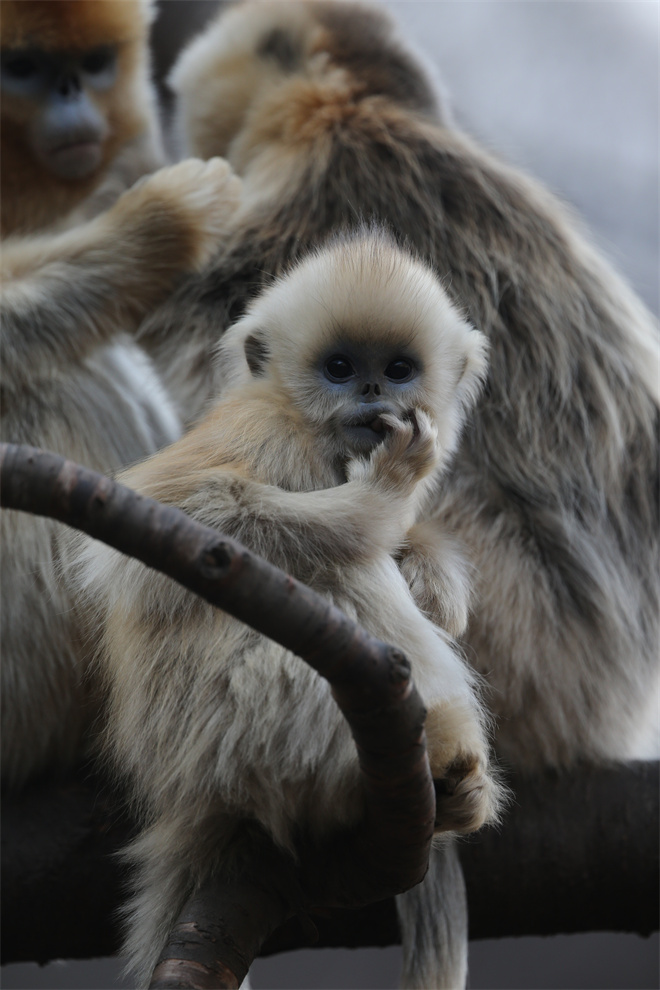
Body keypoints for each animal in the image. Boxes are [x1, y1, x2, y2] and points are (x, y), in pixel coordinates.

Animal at [76, 231, 500, 984]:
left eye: (398, 369)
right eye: (339, 368)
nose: (369, 390)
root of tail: (189, 797)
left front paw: (432, 574)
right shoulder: (266, 426)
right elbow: (173, 517)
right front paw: (385, 494)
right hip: (252, 718)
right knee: (341, 568)